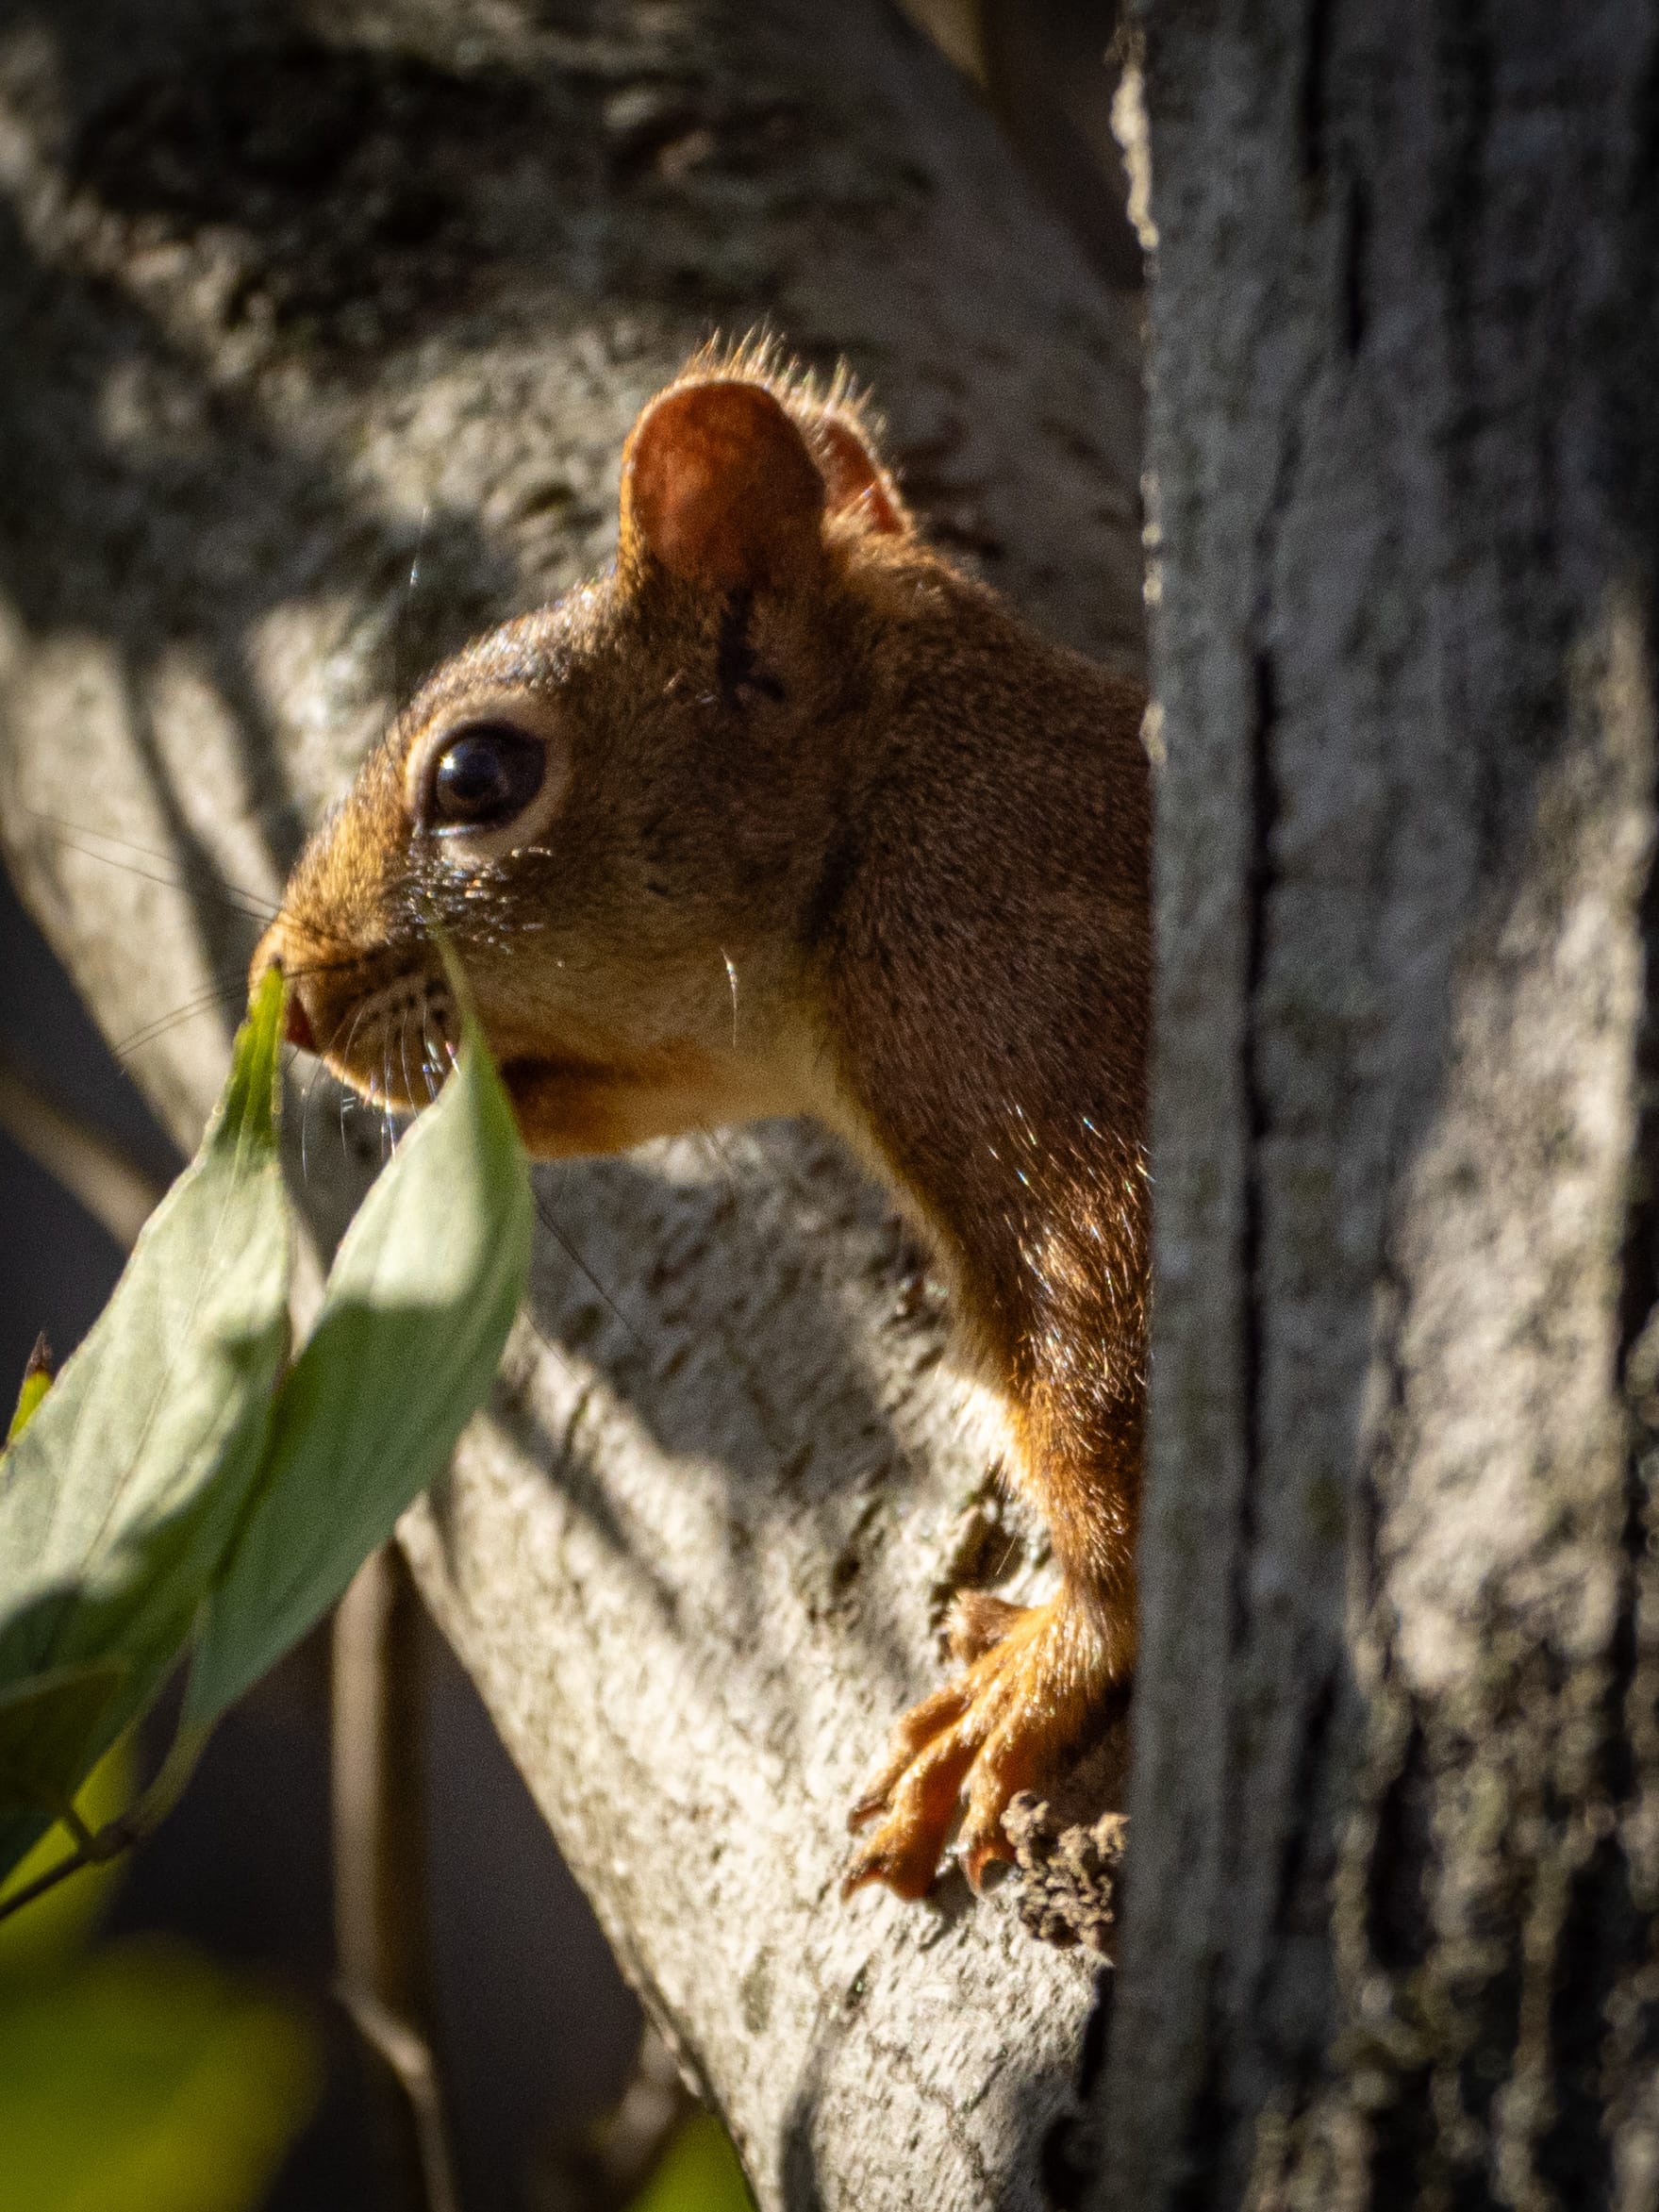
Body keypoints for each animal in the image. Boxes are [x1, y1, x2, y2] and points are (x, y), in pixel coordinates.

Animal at [252, 345, 1150, 1901]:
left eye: (476, 778)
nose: (291, 994)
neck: (900, 811)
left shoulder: (1037, 1061)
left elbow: (1120, 1447)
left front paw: (1034, 1674)